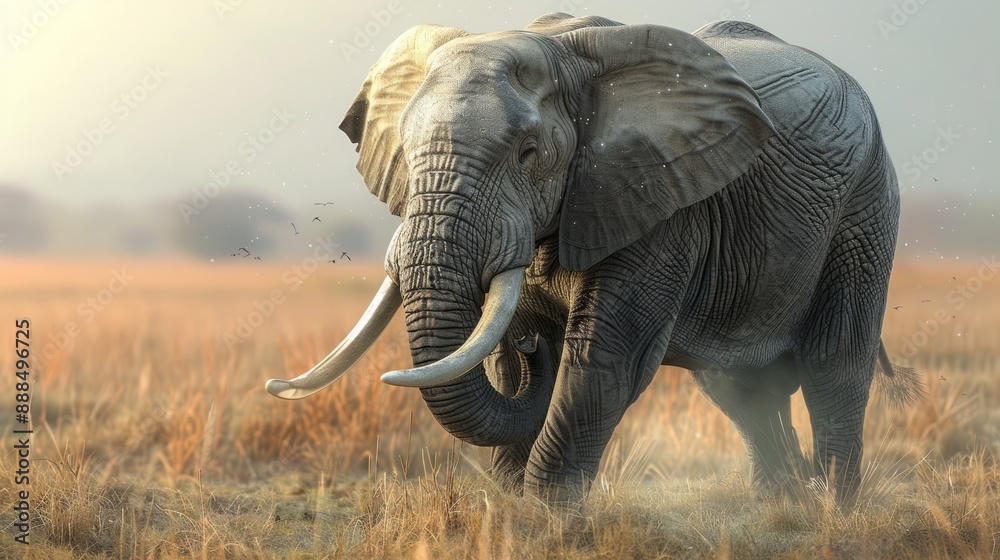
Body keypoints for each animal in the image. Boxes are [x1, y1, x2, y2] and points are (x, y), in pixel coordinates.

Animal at [266, 13, 916, 503]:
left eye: (528, 152)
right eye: (404, 148)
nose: (534, 349)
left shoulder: (658, 194)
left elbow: (604, 357)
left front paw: (545, 516)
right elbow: (508, 358)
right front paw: (510, 503)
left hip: (865, 203)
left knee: (834, 361)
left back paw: (831, 508)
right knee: (736, 385)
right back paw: (779, 504)